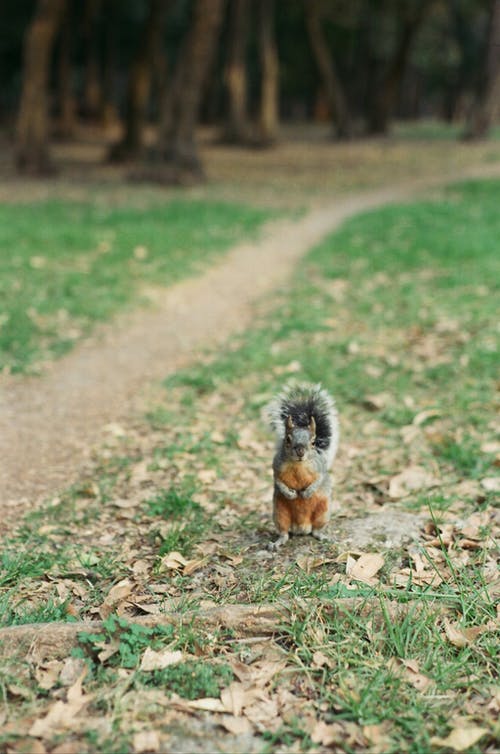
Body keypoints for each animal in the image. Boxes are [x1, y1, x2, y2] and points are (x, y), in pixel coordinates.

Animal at [266, 382, 340, 548]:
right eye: (287, 439)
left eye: (313, 442)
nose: (300, 452)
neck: (298, 465)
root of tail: (302, 527)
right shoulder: (276, 466)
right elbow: (278, 481)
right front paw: (290, 494)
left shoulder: (320, 468)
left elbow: (319, 480)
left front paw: (307, 493)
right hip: (279, 513)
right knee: (284, 532)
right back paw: (277, 542)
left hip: (323, 512)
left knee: (316, 530)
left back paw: (322, 536)